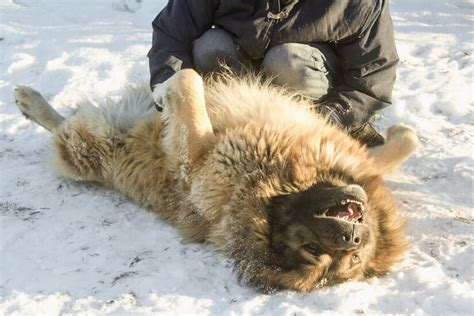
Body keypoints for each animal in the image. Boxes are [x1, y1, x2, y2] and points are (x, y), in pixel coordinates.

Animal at [12, 69, 416, 292]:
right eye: (315, 248)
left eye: (347, 257)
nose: (352, 237)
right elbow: (404, 144)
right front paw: (399, 132)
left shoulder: (198, 158)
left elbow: (189, 82)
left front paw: (164, 92)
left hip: (86, 144)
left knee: (64, 130)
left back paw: (32, 104)